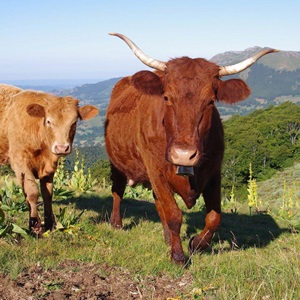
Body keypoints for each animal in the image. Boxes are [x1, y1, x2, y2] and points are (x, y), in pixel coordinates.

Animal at [0, 84, 98, 234]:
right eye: (48, 121)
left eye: (74, 123)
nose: (62, 147)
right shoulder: (19, 161)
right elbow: (32, 192)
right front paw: (35, 225)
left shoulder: (49, 167)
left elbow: (48, 194)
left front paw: (50, 223)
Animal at [106, 32, 278, 264]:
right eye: (166, 97)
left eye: (211, 101)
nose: (183, 155)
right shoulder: (156, 170)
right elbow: (173, 214)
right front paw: (178, 256)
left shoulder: (214, 172)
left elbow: (214, 217)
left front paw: (195, 244)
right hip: (116, 162)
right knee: (118, 190)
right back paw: (117, 223)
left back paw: (167, 238)